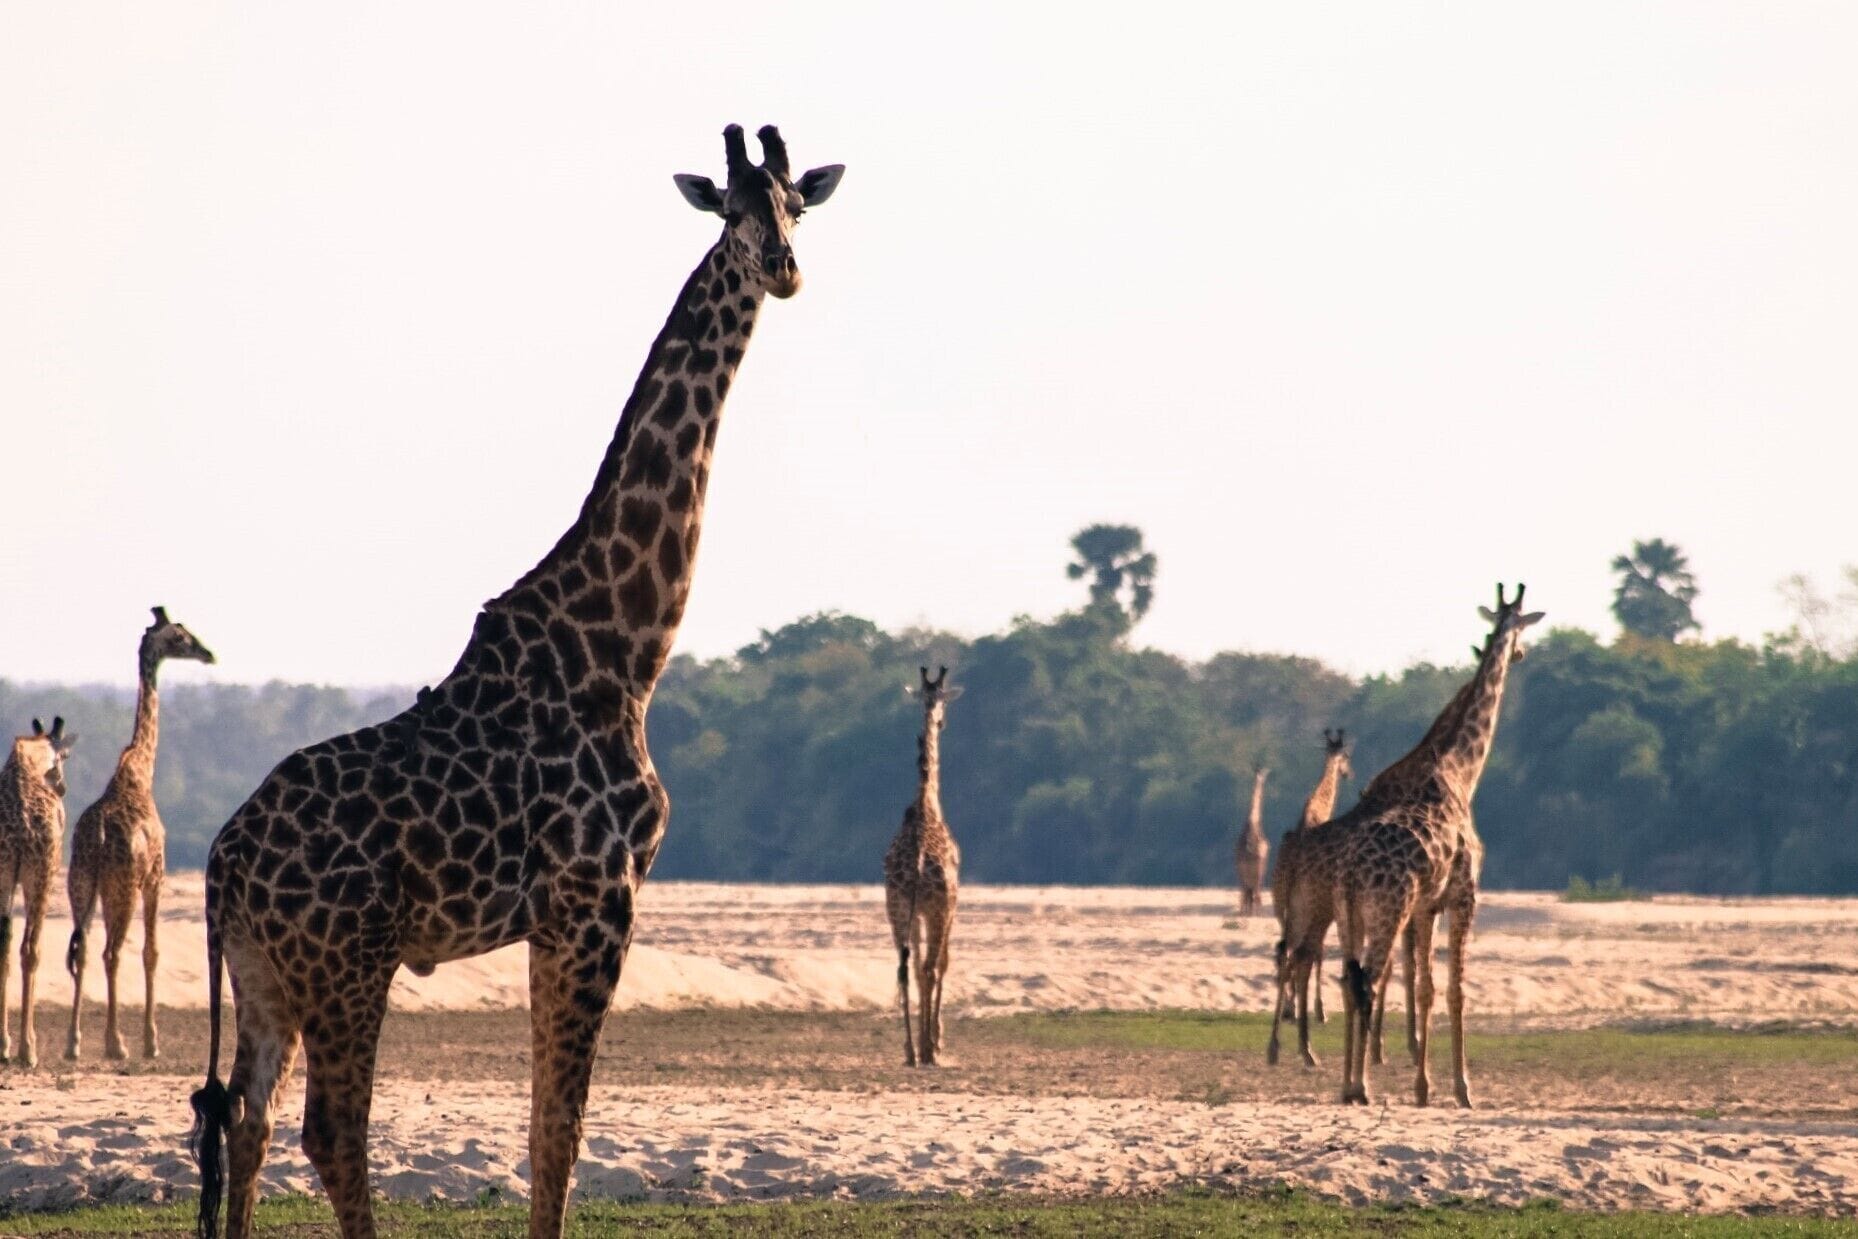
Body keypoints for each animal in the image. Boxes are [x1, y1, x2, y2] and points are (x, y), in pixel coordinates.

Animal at [66, 608, 214, 1061]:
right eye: (180, 637)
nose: (209, 654)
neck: (140, 773)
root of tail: (97, 837)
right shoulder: (156, 878)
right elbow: (151, 952)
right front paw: (152, 1042)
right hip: (123, 886)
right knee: (112, 951)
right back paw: (116, 1044)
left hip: (80, 882)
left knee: (82, 949)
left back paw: (73, 1043)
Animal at [187, 125, 844, 1239]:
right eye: (733, 210)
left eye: (798, 201)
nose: (784, 268)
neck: (625, 649)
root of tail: (223, 864)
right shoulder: (595, 899)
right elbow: (558, 1135)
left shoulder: (565, 913)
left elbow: (547, 1130)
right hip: (347, 962)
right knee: (330, 1129)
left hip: (265, 975)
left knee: (247, 1119)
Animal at [1264, 728, 1351, 1066]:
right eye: (1347, 756)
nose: (1349, 773)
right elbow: (1319, 954)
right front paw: (1320, 1011)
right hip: (1306, 908)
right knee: (1300, 952)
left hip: (1282, 904)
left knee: (1283, 950)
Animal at [1332, 584, 1542, 1107]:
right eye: (1523, 628)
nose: (1520, 653)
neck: (1461, 773)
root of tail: (1351, 869)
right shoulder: (1465, 896)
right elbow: (1454, 990)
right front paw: (1463, 1089)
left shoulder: (1428, 906)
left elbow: (1425, 987)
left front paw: (1424, 1087)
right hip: (1388, 909)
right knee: (1368, 980)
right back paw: (1361, 1086)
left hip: (1350, 913)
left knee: (1349, 979)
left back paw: (1347, 1085)